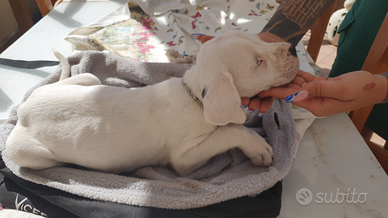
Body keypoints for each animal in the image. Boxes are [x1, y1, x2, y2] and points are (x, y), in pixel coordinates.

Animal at [4, 30, 298, 175]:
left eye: (260, 41)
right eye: (258, 63)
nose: (294, 48)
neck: (193, 95)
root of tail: (25, 108)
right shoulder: (184, 159)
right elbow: (230, 130)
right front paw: (258, 148)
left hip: (88, 78)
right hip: (24, 153)